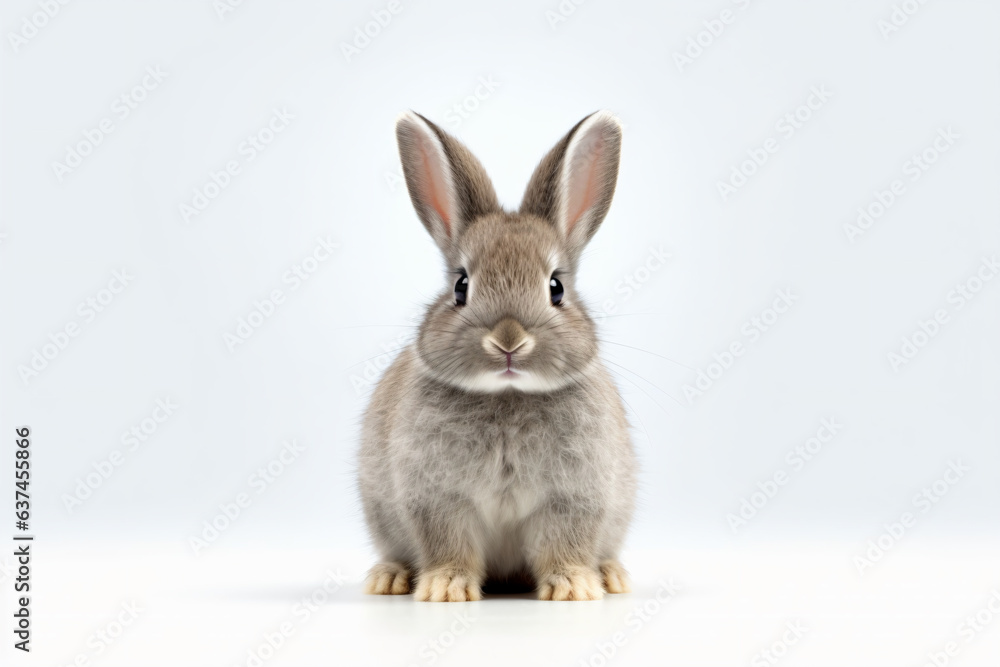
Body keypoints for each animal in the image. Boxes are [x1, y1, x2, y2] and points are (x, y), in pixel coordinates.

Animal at [360, 108, 636, 600]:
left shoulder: (574, 498)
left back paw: (611, 575)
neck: (508, 396)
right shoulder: (437, 498)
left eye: (556, 287)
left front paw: (573, 588)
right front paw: (445, 588)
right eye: (461, 286)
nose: (509, 340)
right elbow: (448, 543)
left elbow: (565, 542)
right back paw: (388, 578)